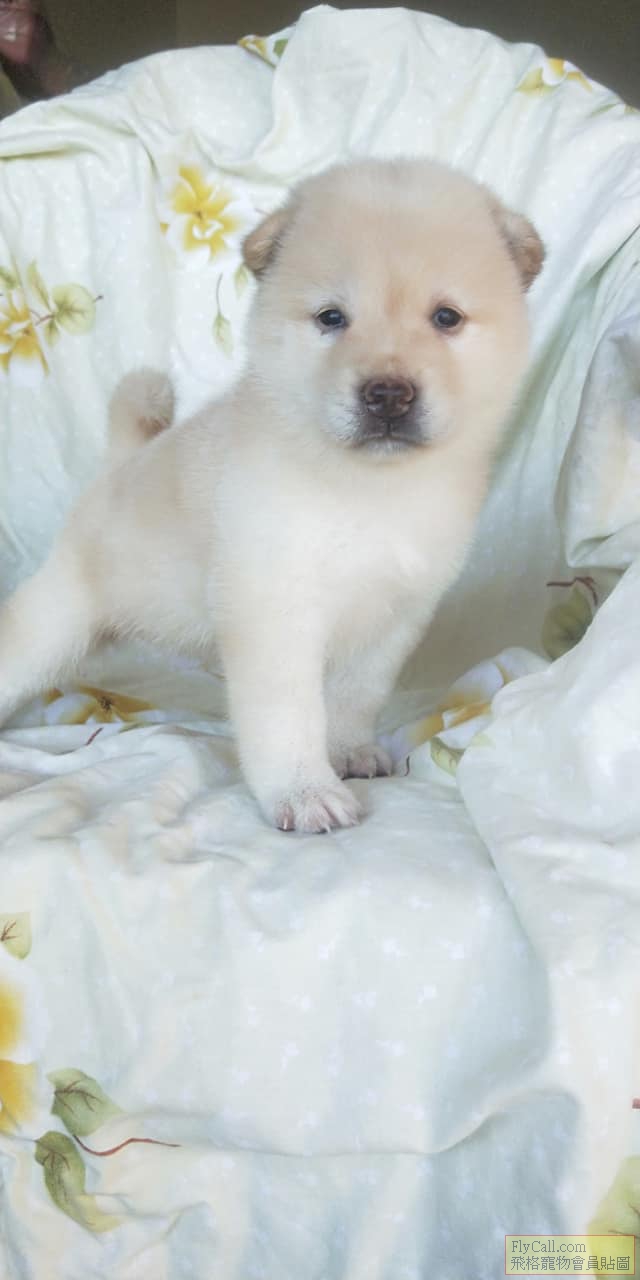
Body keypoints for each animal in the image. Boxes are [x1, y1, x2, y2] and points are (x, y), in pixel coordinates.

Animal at [0, 158, 544, 832]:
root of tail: (121, 464)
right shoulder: (275, 609)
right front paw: (303, 792)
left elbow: (353, 697)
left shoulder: (394, 616)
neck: (371, 490)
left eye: (446, 318)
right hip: (55, 621)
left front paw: (349, 753)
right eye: (332, 318)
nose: (387, 394)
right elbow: (289, 716)